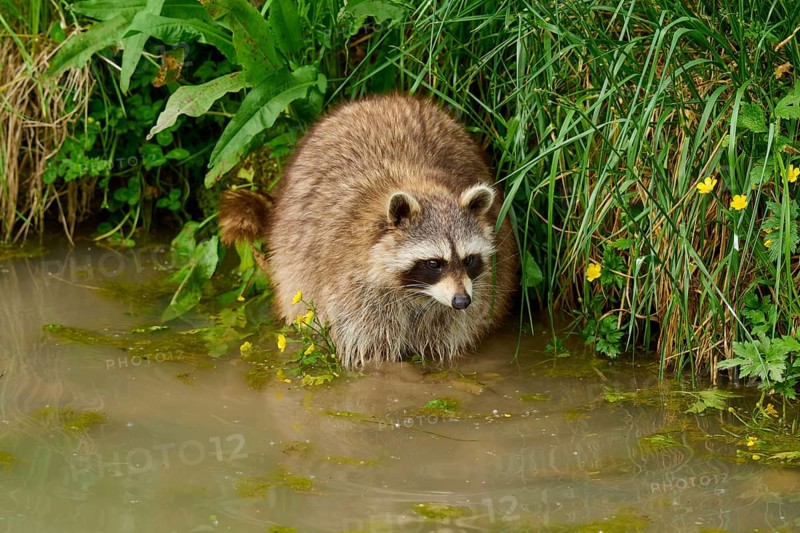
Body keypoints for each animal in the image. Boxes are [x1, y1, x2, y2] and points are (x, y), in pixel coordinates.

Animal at [220, 95, 518, 369]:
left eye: (469, 260)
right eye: (434, 263)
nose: (461, 300)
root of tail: (379, 99)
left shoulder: (474, 293)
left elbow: (449, 330)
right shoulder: (353, 284)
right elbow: (370, 341)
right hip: (291, 245)